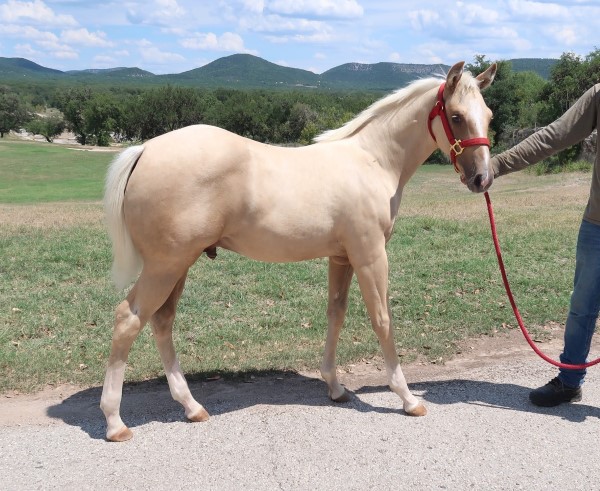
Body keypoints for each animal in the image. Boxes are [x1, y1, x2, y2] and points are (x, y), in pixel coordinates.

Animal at [102, 61, 496, 442]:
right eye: (456, 116)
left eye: (489, 115)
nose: (482, 179)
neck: (373, 160)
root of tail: (145, 150)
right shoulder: (370, 255)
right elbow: (382, 319)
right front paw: (408, 398)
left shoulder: (341, 257)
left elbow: (336, 314)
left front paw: (336, 388)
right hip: (165, 266)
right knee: (128, 319)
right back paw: (115, 422)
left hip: (178, 266)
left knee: (161, 321)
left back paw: (191, 406)